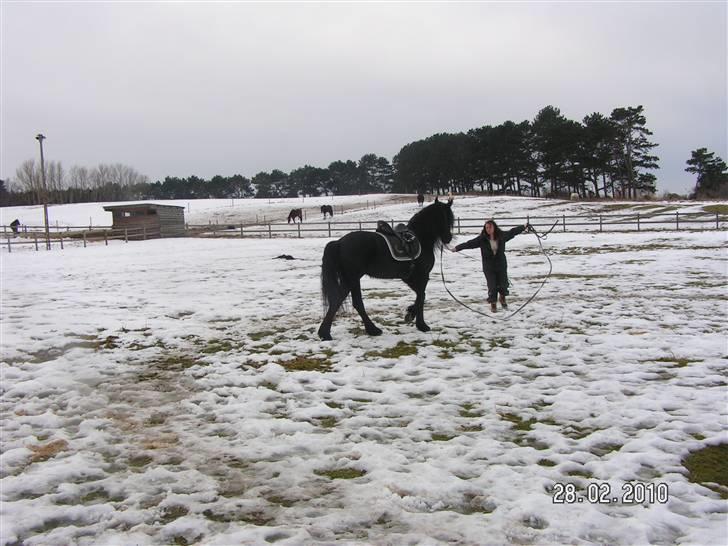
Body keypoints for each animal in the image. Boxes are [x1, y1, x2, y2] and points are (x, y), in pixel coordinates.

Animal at [318, 196, 456, 340]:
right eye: (443, 217)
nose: (448, 238)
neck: (420, 238)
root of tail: (339, 242)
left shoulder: (409, 277)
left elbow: (420, 295)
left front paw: (411, 313)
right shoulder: (422, 275)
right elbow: (422, 296)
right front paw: (420, 323)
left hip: (352, 279)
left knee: (352, 302)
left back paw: (368, 330)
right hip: (352, 278)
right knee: (342, 301)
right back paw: (330, 333)